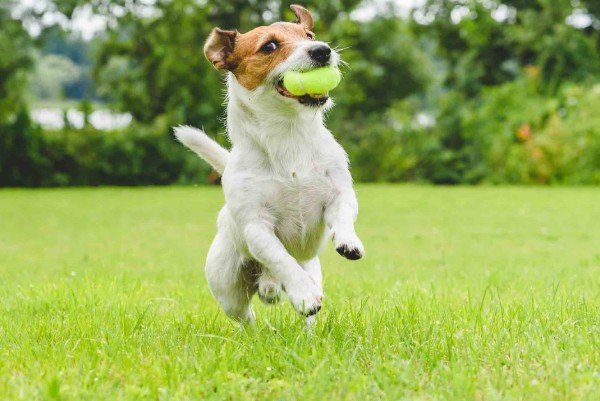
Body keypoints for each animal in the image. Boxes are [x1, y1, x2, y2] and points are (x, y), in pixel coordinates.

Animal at [176, 4, 364, 324]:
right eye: (270, 46)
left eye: (309, 35)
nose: (322, 50)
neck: (288, 136)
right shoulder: (256, 227)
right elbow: (280, 258)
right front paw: (302, 293)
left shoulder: (339, 194)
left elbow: (342, 215)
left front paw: (348, 241)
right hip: (228, 289)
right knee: (247, 317)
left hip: (311, 267)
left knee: (306, 311)